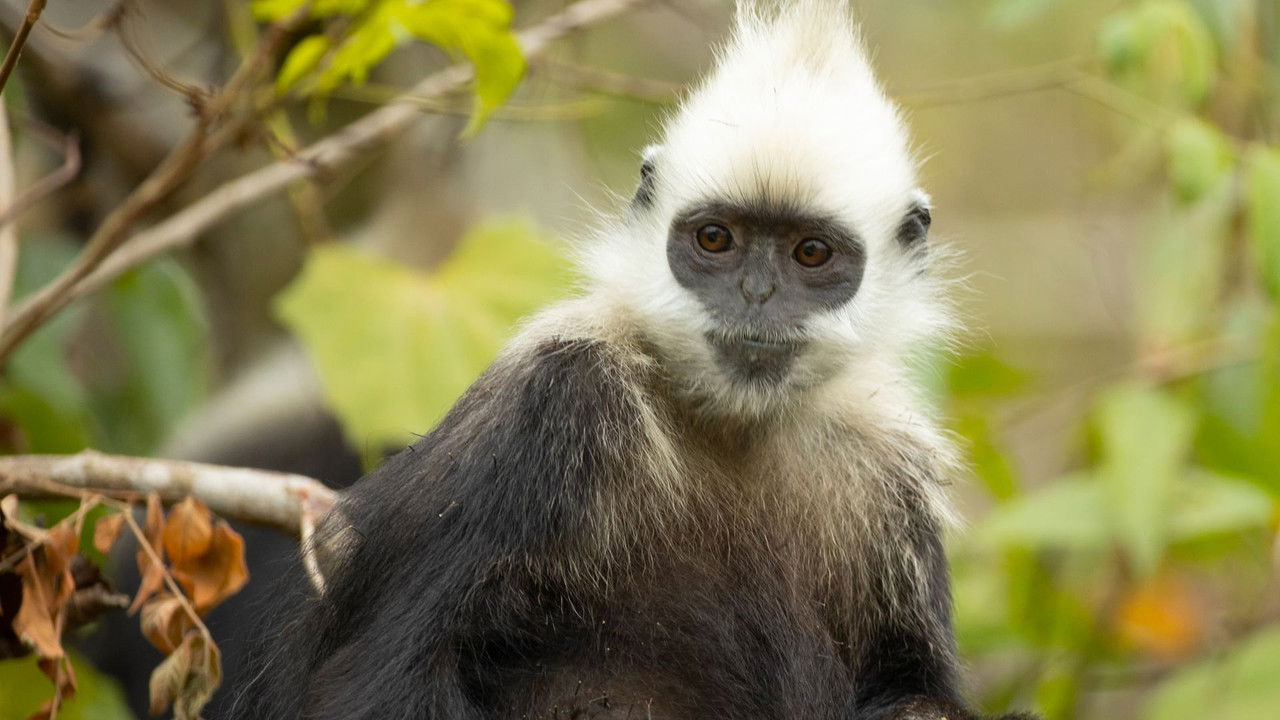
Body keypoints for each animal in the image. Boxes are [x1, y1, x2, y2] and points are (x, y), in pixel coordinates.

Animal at [233, 3, 1037, 719]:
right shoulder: (557, 398)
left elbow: (914, 690)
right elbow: (379, 677)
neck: (734, 428)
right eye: (715, 240)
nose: (756, 295)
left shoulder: (890, 474)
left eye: (811, 253)